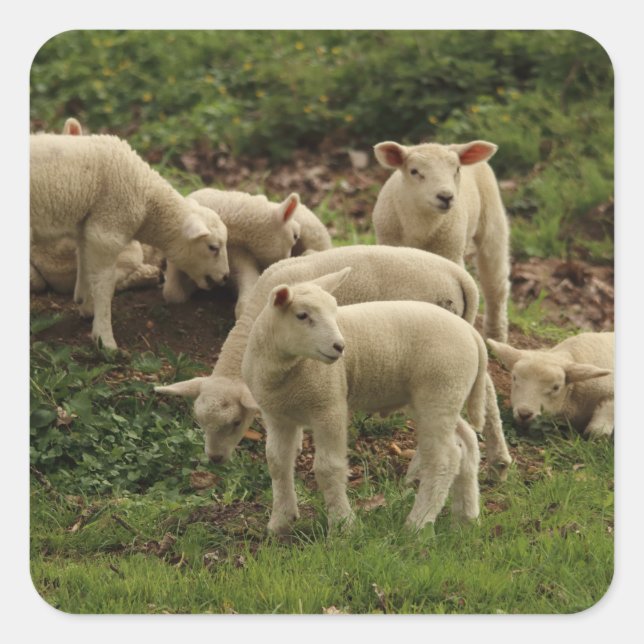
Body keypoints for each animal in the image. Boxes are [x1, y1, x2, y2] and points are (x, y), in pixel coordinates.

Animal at [30, 133, 230, 349]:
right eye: (213, 247)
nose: (226, 277)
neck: (146, 195)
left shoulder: (88, 225)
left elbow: (85, 263)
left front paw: (85, 303)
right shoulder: (107, 230)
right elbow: (104, 283)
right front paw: (104, 339)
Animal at [154, 245, 512, 478]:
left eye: (235, 422)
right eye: (200, 422)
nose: (214, 459)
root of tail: (460, 276)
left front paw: (298, 445)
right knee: (487, 387)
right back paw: (500, 458)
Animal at [239, 268, 487, 534]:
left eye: (335, 312)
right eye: (302, 315)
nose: (340, 347)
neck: (286, 370)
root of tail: (471, 332)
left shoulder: (329, 406)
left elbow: (328, 468)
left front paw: (343, 524)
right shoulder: (276, 416)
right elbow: (277, 464)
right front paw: (280, 522)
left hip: (440, 389)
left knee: (443, 459)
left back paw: (417, 524)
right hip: (444, 396)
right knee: (467, 443)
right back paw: (467, 517)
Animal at [372, 139, 511, 343]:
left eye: (457, 169)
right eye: (414, 171)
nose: (446, 196)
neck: (422, 228)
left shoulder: (451, 252)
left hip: (492, 220)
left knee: (495, 284)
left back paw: (496, 337)